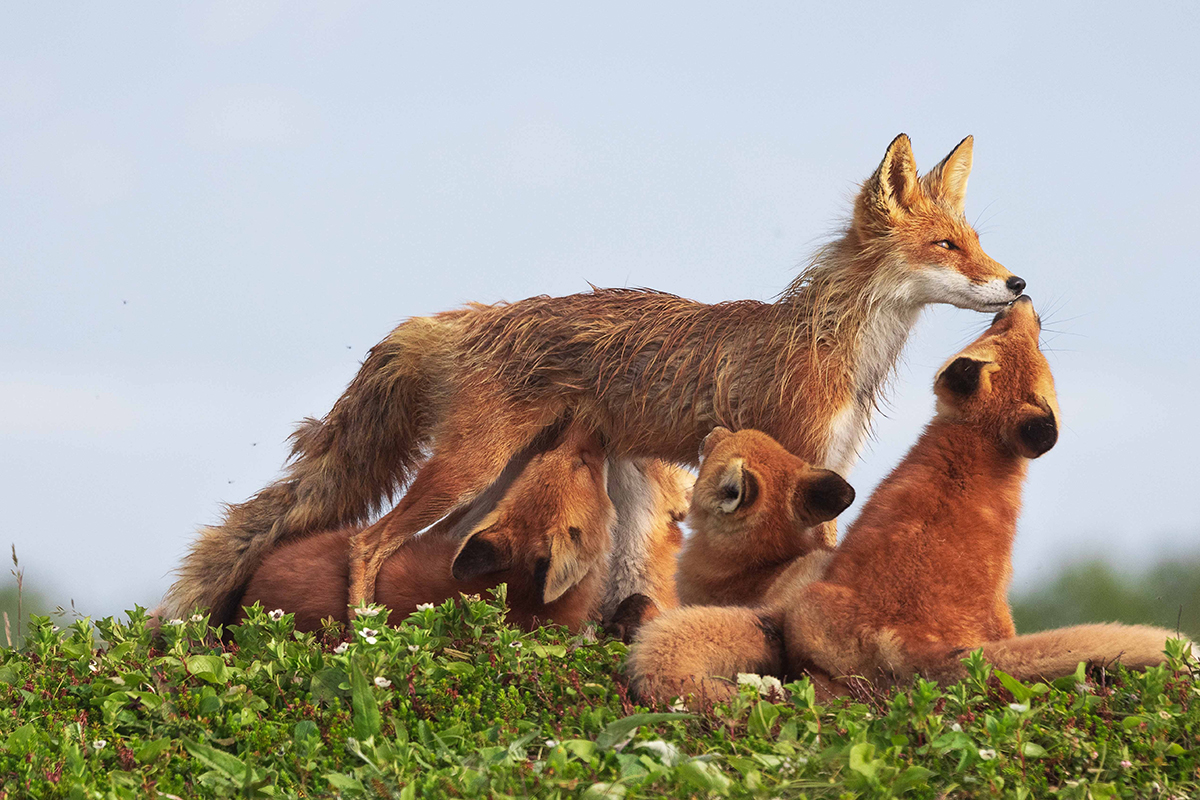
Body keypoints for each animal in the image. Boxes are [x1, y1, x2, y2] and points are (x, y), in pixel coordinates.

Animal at [162, 131, 1032, 623]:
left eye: (978, 242)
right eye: (948, 247)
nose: (1018, 283)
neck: (837, 346)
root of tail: (459, 318)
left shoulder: (833, 468)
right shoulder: (794, 459)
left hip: (492, 484)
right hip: (464, 470)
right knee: (368, 542)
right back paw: (364, 642)